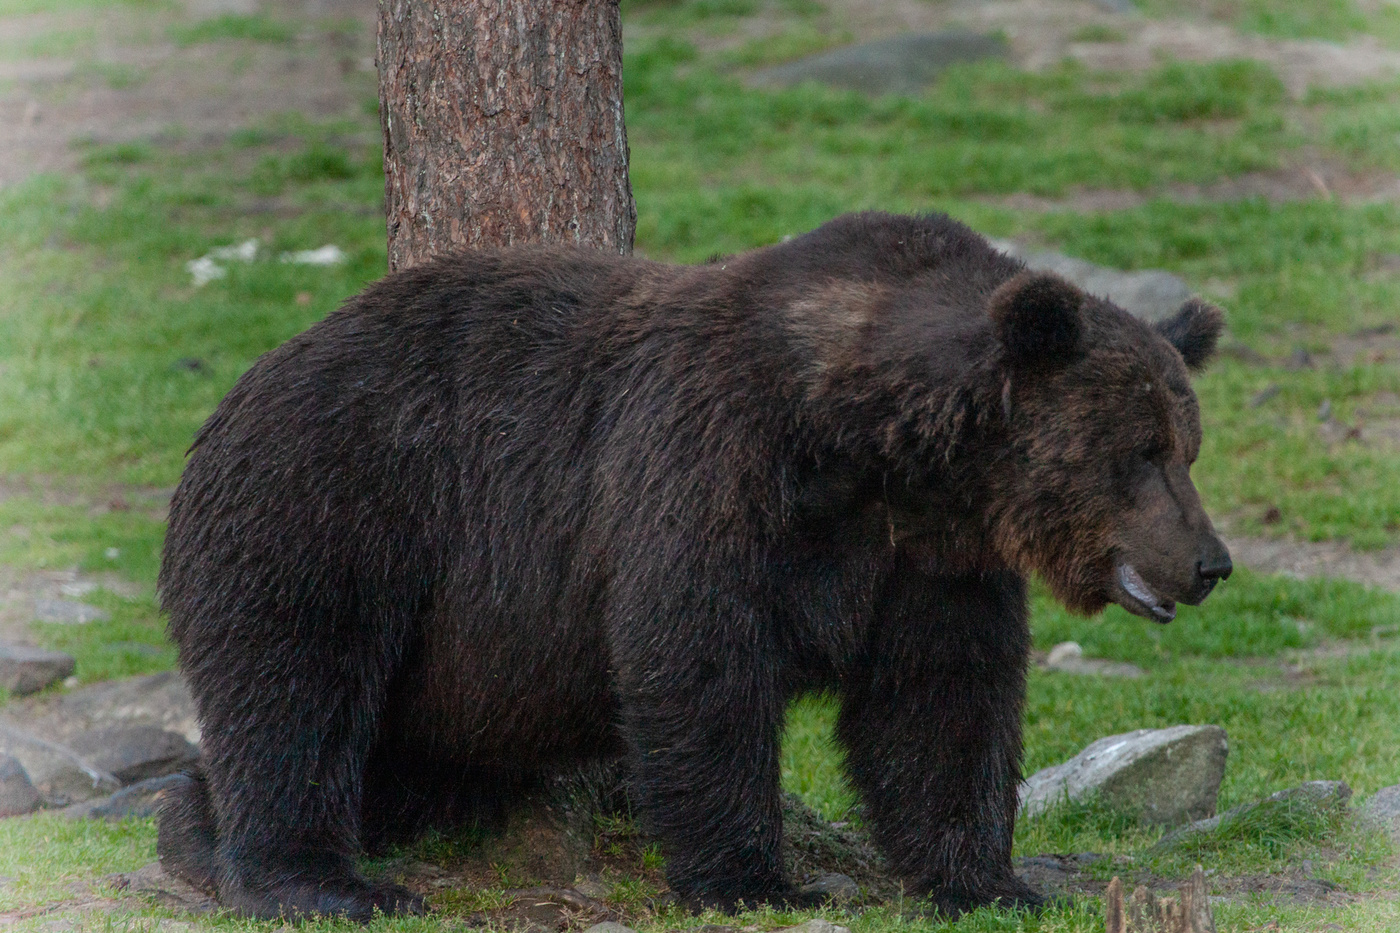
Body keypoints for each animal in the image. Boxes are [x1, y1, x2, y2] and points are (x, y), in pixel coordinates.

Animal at [158, 210, 1232, 913]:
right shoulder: (709, 472)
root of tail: (238, 391)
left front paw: (989, 879)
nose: (1210, 561)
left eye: (1187, 444)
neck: (874, 443)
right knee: (296, 687)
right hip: (337, 506)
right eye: (1141, 449)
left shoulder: (930, 559)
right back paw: (314, 875)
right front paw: (753, 877)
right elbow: (698, 663)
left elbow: (942, 703)